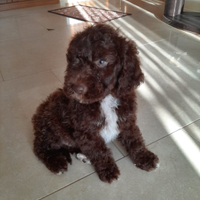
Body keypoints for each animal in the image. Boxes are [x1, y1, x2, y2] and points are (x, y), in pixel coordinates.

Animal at [32, 23, 159, 183]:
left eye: (102, 61)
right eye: (77, 59)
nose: (75, 88)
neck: (105, 99)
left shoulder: (126, 120)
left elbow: (135, 139)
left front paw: (144, 157)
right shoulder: (87, 131)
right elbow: (99, 150)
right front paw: (108, 169)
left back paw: (82, 155)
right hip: (50, 125)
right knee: (40, 147)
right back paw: (56, 162)